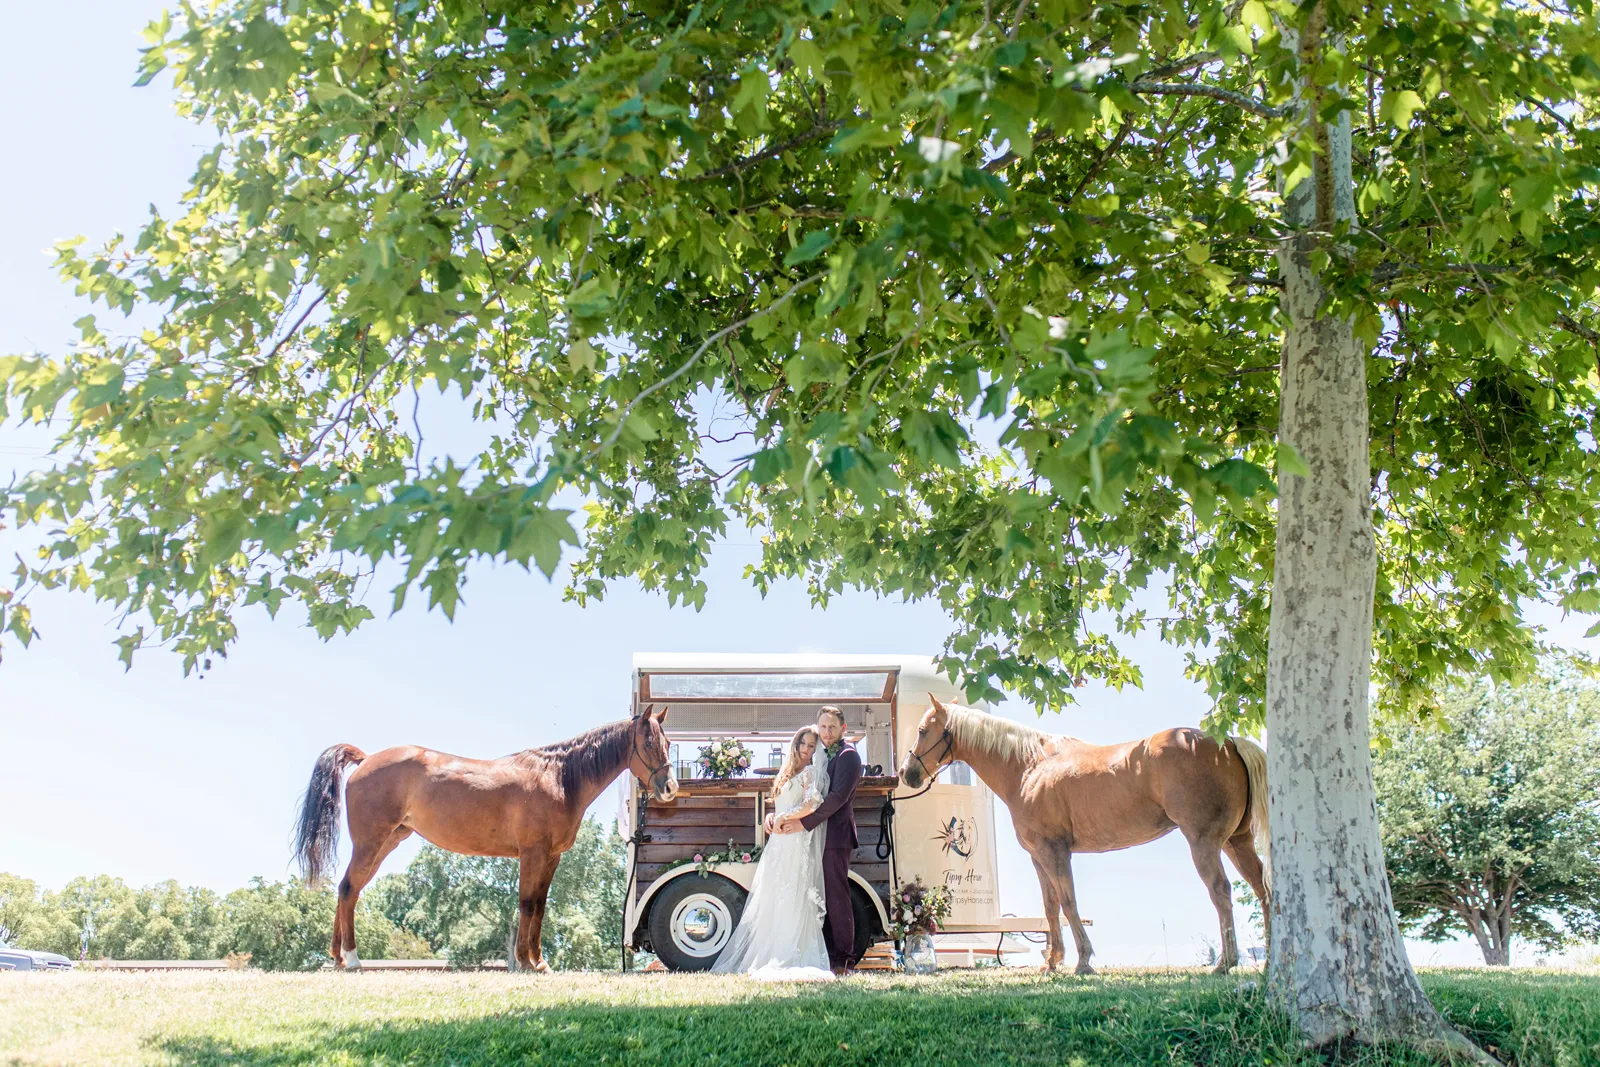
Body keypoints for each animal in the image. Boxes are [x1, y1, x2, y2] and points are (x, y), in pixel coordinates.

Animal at [294, 703, 675, 972]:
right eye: (648, 742)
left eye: (668, 742)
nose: (670, 787)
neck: (558, 778)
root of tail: (366, 759)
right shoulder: (533, 853)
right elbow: (527, 903)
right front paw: (525, 962)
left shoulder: (552, 857)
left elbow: (540, 905)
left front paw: (539, 961)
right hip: (371, 842)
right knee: (348, 889)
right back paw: (351, 958)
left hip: (387, 842)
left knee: (349, 888)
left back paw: (337, 958)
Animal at [908, 697, 1267, 979]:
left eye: (923, 730)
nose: (908, 775)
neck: (1029, 766)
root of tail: (1229, 742)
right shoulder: (1038, 856)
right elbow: (1050, 907)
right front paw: (1052, 962)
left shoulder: (1055, 852)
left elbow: (1069, 903)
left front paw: (1083, 962)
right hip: (1237, 842)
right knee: (1262, 887)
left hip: (1203, 842)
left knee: (1220, 891)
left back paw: (1225, 963)